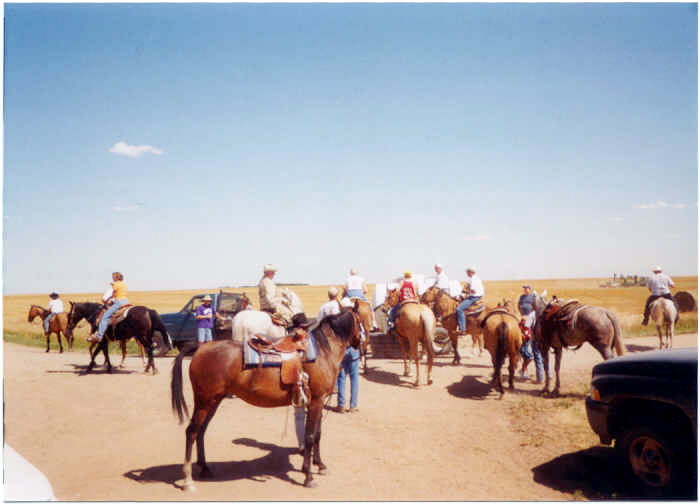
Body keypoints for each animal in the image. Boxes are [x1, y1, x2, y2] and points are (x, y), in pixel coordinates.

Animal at [170, 306, 360, 490]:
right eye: (361, 320)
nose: (361, 343)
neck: (323, 351)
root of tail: (201, 347)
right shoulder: (316, 402)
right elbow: (310, 437)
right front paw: (308, 477)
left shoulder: (317, 402)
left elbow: (317, 435)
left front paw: (320, 465)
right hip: (204, 402)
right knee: (191, 432)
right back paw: (188, 480)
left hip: (213, 401)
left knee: (201, 431)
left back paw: (205, 468)